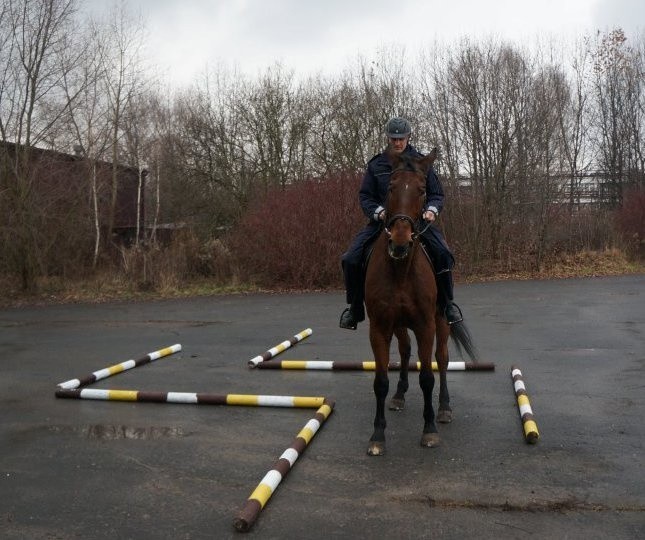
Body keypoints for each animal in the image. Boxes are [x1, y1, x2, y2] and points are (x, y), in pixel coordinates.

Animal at [362, 148, 478, 456]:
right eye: (390, 187)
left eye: (423, 190)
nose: (400, 241)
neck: (401, 269)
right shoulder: (380, 328)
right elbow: (380, 381)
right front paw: (378, 435)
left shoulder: (426, 325)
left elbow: (427, 377)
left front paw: (430, 430)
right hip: (400, 325)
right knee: (404, 351)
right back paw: (400, 395)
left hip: (441, 322)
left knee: (442, 359)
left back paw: (445, 408)